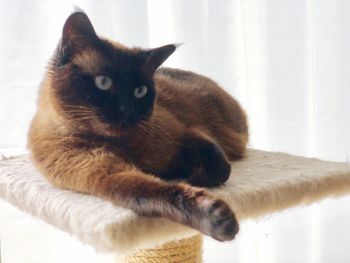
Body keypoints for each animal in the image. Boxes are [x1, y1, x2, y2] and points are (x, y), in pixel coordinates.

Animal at [28, 12, 249, 243]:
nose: (127, 111)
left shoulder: (187, 135)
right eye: (104, 82)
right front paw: (219, 221)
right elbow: (159, 193)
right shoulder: (110, 176)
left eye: (140, 91)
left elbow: (220, 168)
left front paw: (192, 176)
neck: (124, 146)